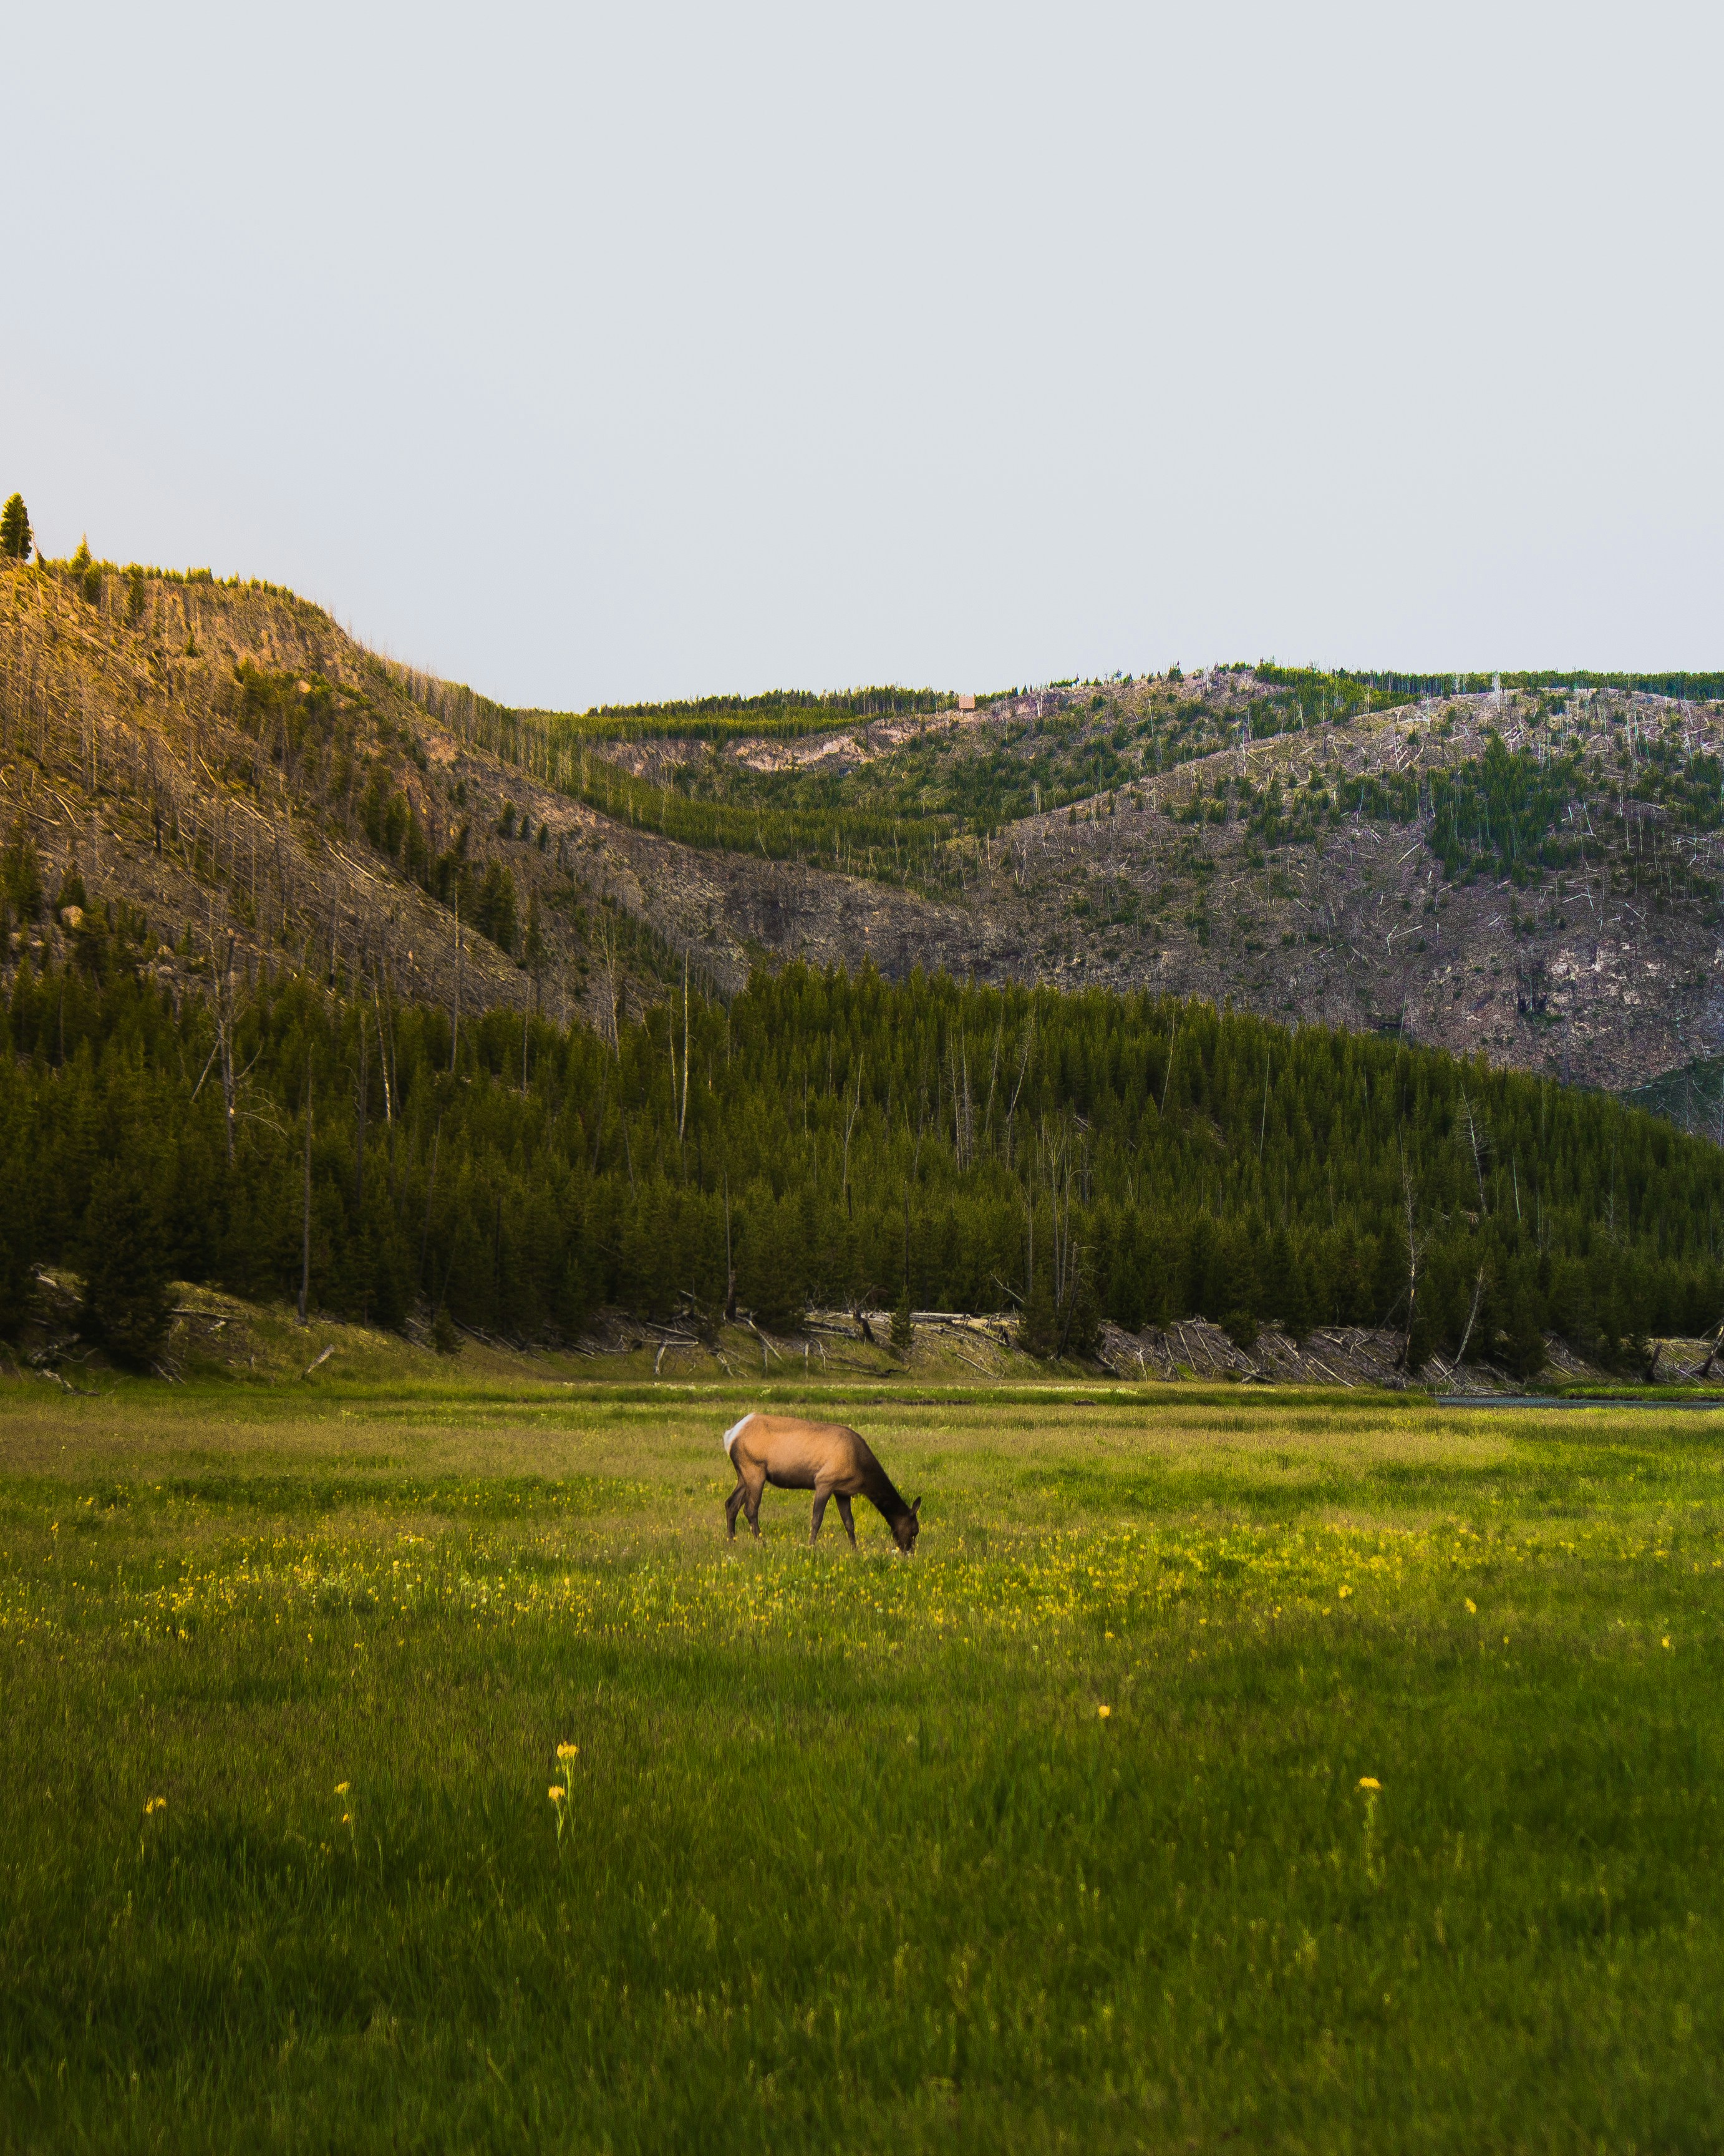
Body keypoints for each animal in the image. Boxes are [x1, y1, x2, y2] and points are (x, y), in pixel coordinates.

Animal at [721, 1411, 921, 1551]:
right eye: (915, 1531)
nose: (909, 1552)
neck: (863, 1472)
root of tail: (730, 1435)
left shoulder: (842, 1492)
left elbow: (850, 1523)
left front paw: (855, 1550)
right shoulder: (825, 1482)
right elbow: (817, 1519)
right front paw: (811, 1547)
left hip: (744, 1474)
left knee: (731, 1504)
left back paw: (731, 1542)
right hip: (755, 1470)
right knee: (750, 1509)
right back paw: (762, 1544)